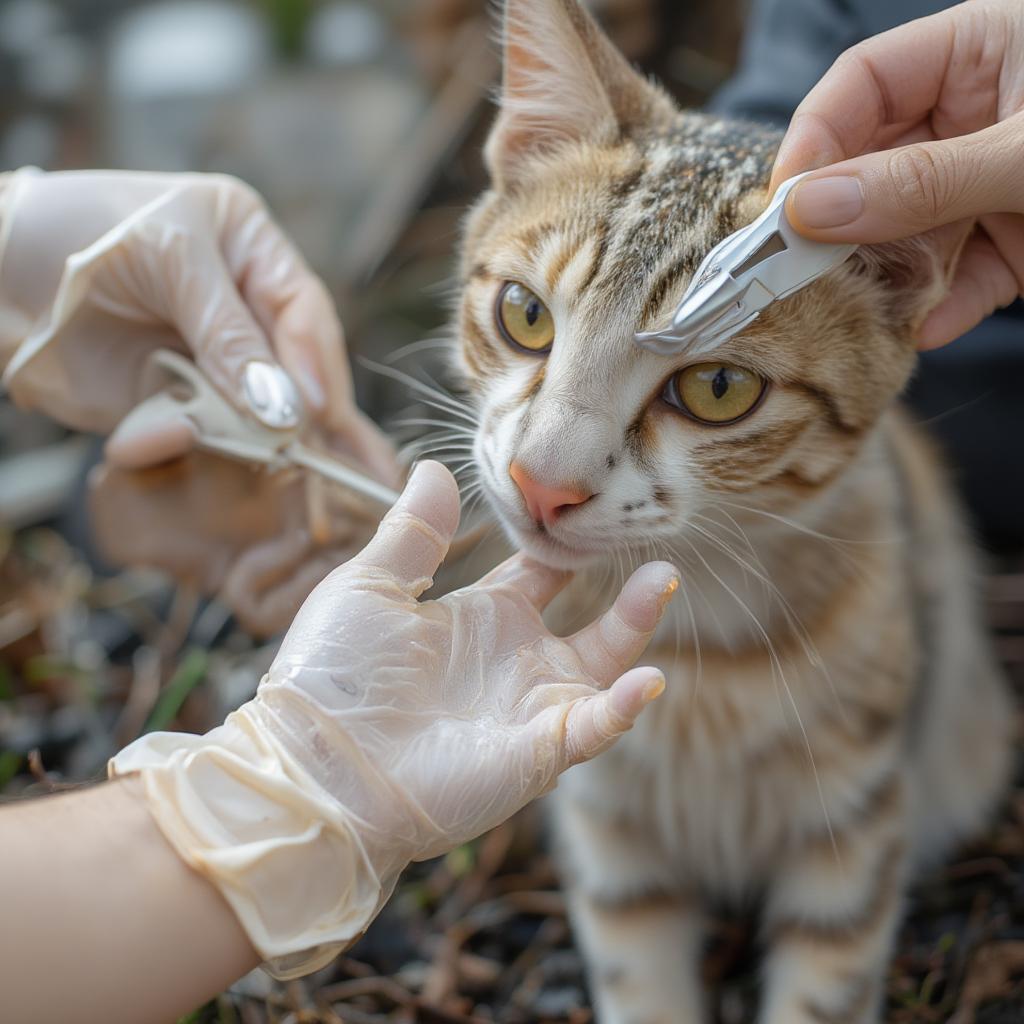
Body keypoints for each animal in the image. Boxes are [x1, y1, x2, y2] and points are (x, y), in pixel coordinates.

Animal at [438, 2, 1007, 1024]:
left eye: (716, 388)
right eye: (524, 315)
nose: (543, 482)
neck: (702, 656)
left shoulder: (857, 828)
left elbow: (826, 986)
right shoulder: (610, 831)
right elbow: (638, 974)